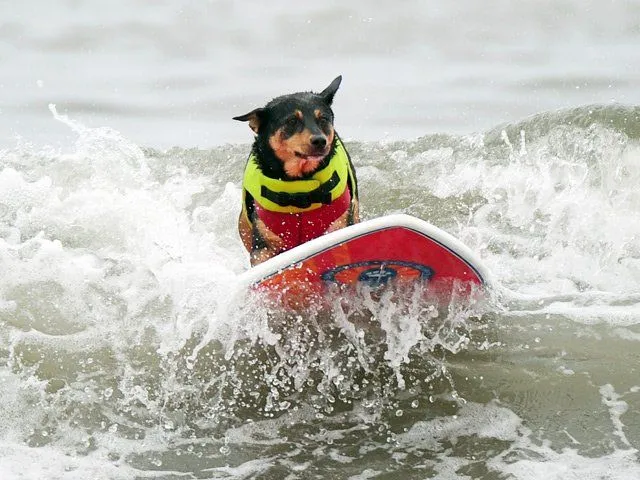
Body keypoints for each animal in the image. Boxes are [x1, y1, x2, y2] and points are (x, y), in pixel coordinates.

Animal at [234, 77, 358, 268]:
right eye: (292, 121)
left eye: (323, 119)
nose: (320, 141)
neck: (299, 186)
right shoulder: (263, 247)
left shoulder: (339, 226)